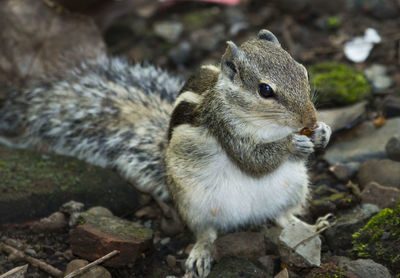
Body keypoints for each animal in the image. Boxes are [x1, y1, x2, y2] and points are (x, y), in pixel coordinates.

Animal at [0, 29, 332, 276]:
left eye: (302, 71)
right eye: (265, 90)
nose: (310, 119)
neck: (267, 126)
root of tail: (248, 217)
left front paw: (322, 133)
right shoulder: (225, 128)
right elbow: (252, 160)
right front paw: (293, 144)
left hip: (294, 188)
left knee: (283, 216)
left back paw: (310, 226)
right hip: (194, 204)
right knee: (206, 233)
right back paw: (200, 254)